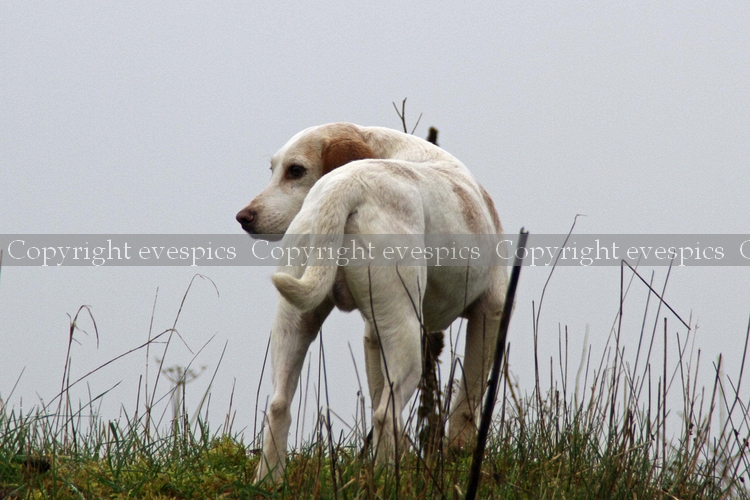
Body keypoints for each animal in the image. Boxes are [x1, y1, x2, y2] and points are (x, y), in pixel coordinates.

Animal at [237, 123, 508, 483]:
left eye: (294, 170)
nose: (243, 217)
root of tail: (346, 186)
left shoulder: (372, 335)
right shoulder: (491, 309)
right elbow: (469, 398)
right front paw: (458, 454)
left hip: (293, 321)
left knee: (280, 405)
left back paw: (269, 482)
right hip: (407, 338)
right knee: (385, 414)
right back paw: (387, 482)